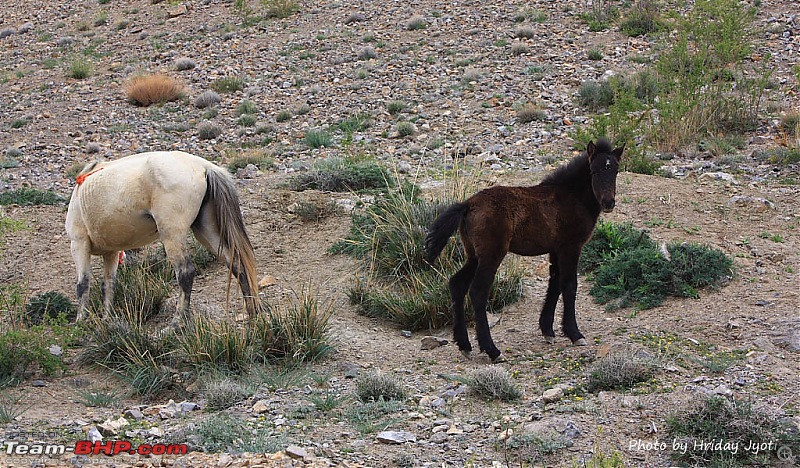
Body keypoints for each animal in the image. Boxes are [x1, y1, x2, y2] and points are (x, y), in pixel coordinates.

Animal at [65, 152, 260, 320]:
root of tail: (204, 166)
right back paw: (252, 311)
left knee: (185, 272)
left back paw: (177, 322)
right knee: (236, 263)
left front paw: (81, 321)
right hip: (206, 231)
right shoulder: (111, 252)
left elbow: (83, 284)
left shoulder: (79, 244)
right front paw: (107, 319)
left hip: (171, 234)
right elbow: (108, 285)